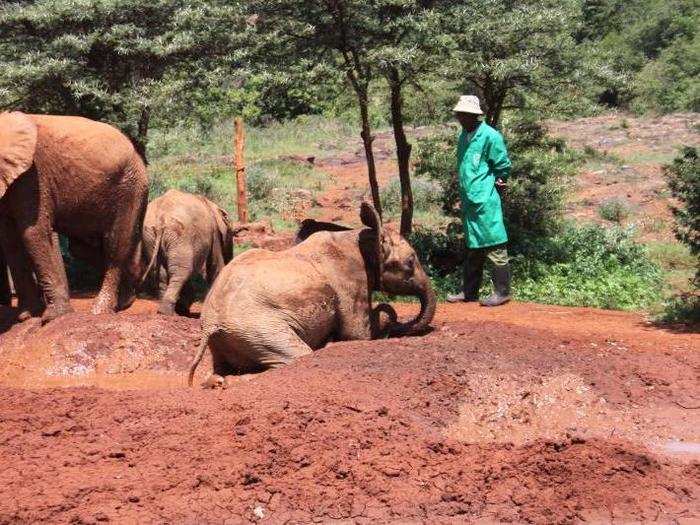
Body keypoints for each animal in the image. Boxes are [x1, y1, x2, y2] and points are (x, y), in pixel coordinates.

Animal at [0, 112, 148, 322]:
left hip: (130, 187)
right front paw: (28, 316)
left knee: (115, 245)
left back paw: (100, 311)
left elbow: (34, 232)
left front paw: (52, 317)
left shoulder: (33, 176)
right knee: (81, 248)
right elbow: (10, 240)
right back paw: (127, 298)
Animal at [189, 203, 434, 386]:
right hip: (257, 327)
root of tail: (210, 323)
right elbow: (358, 334)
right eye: (410, 262)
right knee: (296, 355)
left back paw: (214, 381)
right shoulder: (351, 280)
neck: (361, 235)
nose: (396, 320)